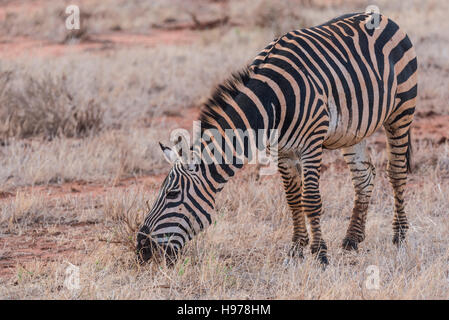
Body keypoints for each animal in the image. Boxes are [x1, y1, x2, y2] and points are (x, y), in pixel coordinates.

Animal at [136, 12, 416, 266]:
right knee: (364, 177)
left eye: (172, 194)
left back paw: (400, 236)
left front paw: (320, 254)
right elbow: (293, 200)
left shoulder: (311, 144)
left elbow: (311, 200)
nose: (141, 248)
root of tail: (380, 17)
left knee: (396, 173)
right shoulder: (281, 150)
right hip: (353, 130)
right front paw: (296, 249)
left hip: (401, 112)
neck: (273, 100)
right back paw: (352, 239)